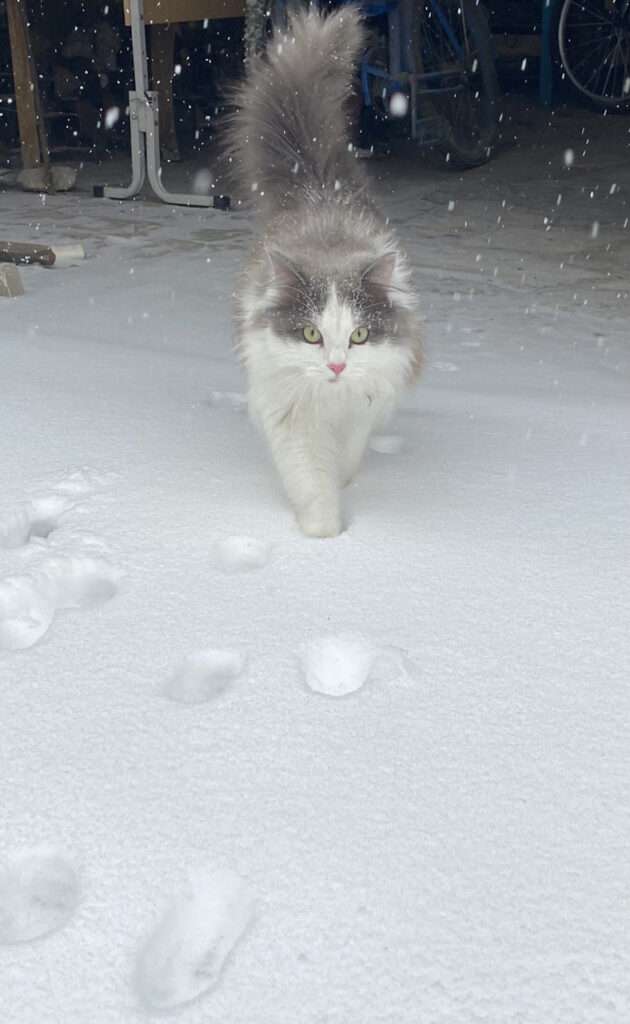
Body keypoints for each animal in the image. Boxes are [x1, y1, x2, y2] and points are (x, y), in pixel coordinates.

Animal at [226, 4, 424, 540]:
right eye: (311, 334)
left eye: (359, 335)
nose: (336, 366)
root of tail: (319, 189)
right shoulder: (291, 414)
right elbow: (311, 479)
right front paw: (324, 535)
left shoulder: (361, 408)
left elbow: (345, 457)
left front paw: (344, 484)